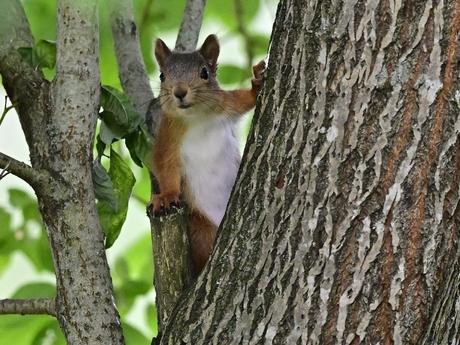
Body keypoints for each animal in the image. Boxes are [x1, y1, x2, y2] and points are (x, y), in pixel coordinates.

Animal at [149, 35, 264, 276]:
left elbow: (242, 100)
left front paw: (257, 84)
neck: (196, 118)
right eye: (162, 75)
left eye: (205, 72)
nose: (179, 92)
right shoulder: (166, 140)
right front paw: (166, 196)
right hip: (200, 228)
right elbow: (165, 167)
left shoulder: (226, 104)